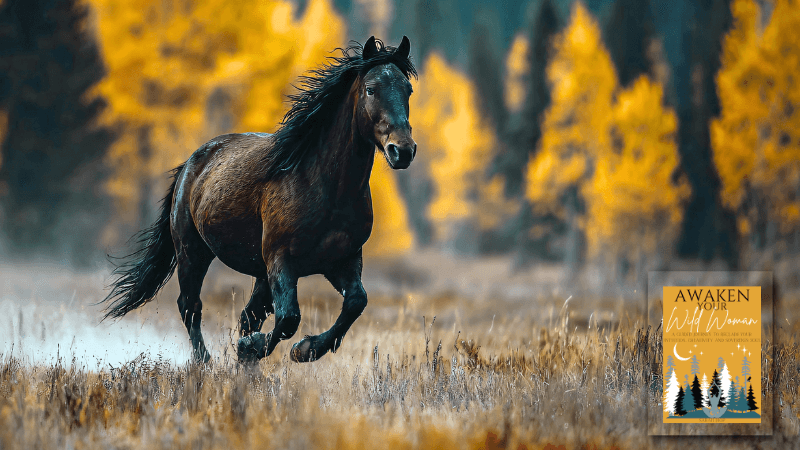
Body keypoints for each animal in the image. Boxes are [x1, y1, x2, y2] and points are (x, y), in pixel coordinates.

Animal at [101, 36, 417, 363]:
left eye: (408, 89)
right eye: (371, 88)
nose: (402, 150)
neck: (325, 187)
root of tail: (190, 164)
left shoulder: (343, 260)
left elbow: (356, 302)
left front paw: (304, 349)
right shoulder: (281, 260)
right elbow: (289, 318)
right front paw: (261, 347)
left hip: (257, 273)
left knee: (246, 316)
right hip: (192, 251)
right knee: (191, 307)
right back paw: (206, 362)